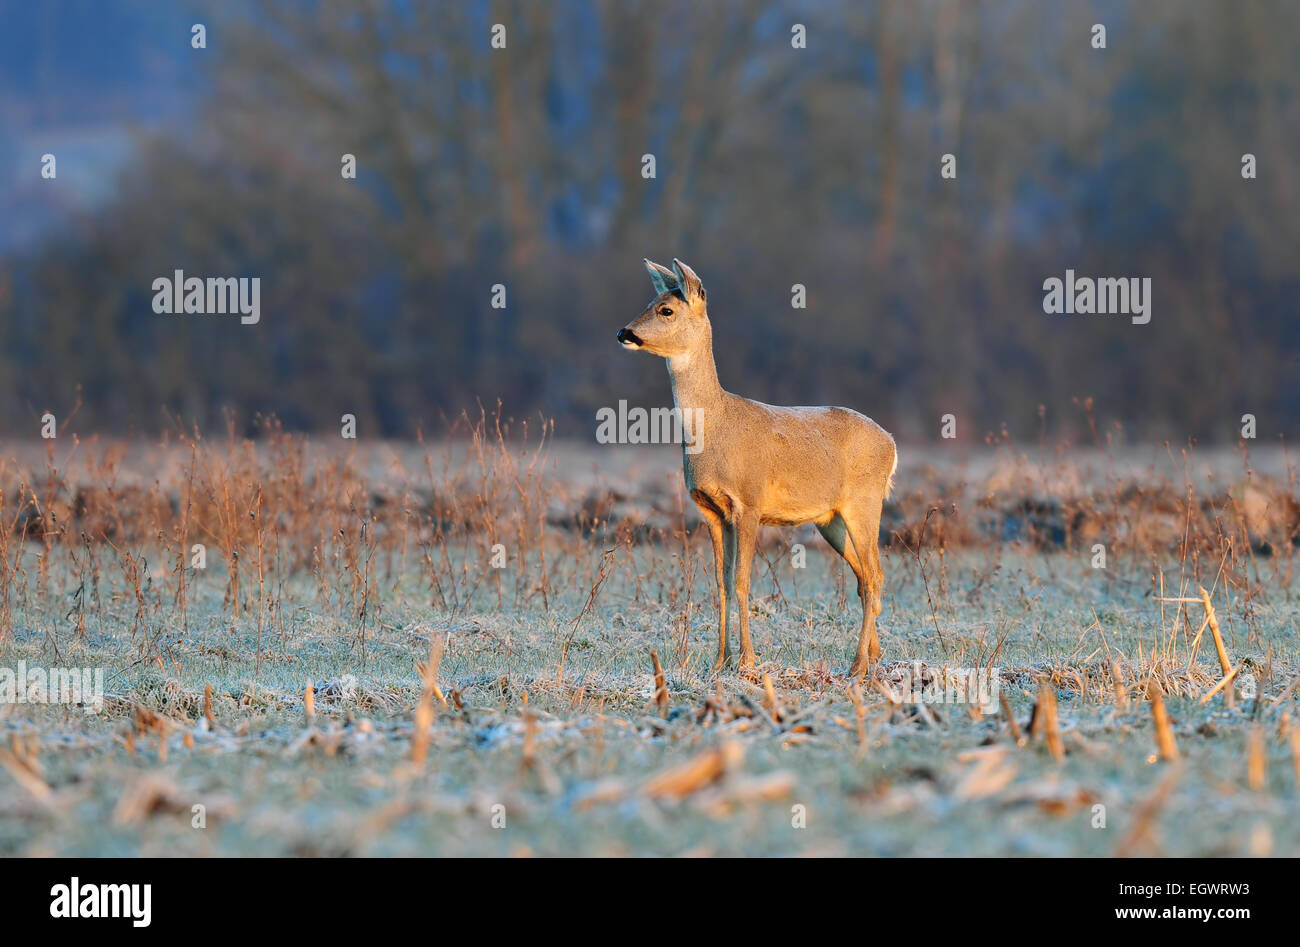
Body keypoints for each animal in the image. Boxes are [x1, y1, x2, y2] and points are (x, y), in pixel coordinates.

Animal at [617, 258, 897, 678]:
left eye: (666, 310)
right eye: (649, 301)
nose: (624, 332)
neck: (715, 425)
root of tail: (892, 444)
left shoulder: (748, 504)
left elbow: (743, 580)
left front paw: (747, 662)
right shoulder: (711, 510)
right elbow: (721, 582)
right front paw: (719, 662)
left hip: (865, 502)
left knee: (876, 575)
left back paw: (858, 666)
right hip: (830, 518)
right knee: (864, 578)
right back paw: (873, 658)